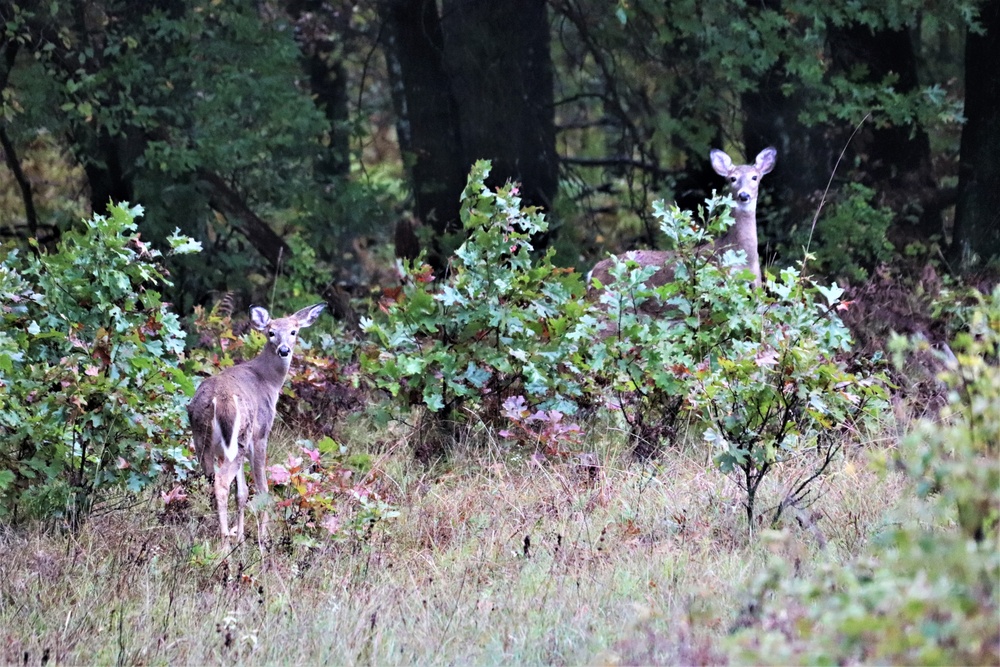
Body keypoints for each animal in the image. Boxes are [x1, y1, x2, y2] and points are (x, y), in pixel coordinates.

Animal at [188, 306, 324, 552]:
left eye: (293, 331)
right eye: (271, 332)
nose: (284, 350)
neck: (268, 381)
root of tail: (217, 400)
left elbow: (242, 492)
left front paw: (241, 538)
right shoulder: (261, 434)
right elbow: (262, 489)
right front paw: (263, 540)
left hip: (202, 439)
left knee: (211, 480)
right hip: (241, 436)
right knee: (222, 483)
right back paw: (225, 544)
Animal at [588, 149, 776, 300]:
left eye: (755, 177)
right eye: (732, 178)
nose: (744, 195)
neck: (744, 255)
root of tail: (592, 273)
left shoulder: (757, 280)